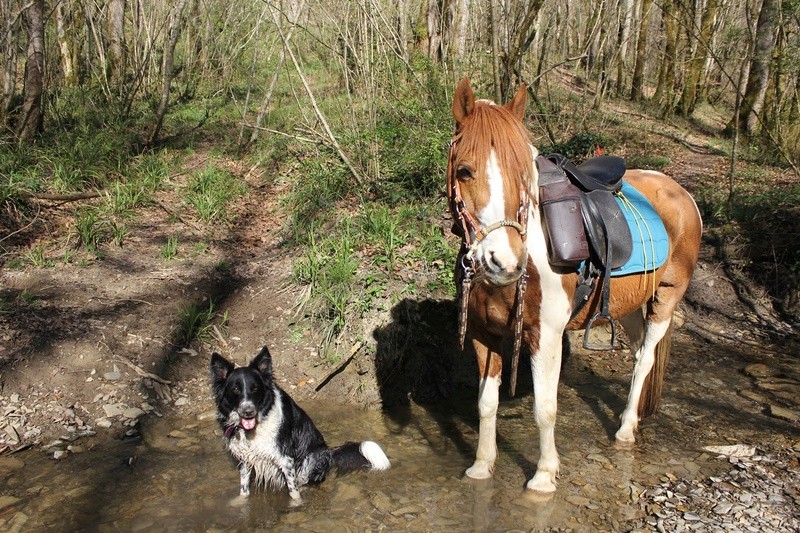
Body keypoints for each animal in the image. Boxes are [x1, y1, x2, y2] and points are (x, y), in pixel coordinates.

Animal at [446, 78, 704, 490]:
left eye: (524, 175)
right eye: (466, 171)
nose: (504, 263)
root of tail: (680, 191)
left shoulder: (546, 335)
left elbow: (545, 408)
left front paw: (543, 476)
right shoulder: (483, 334)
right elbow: (486, 403)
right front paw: (482, 465)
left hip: (667, 298)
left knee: (646, 357)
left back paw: (625, 430)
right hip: (629, 305)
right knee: (637, 355)